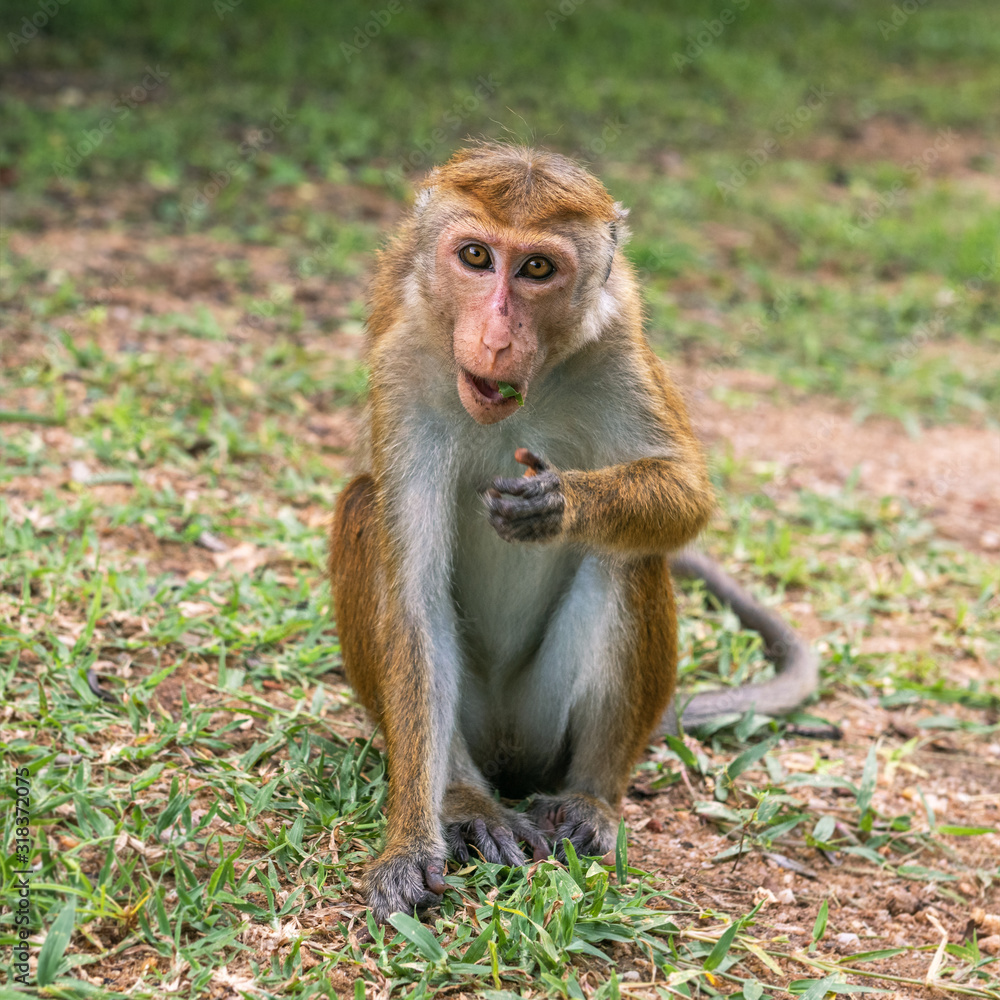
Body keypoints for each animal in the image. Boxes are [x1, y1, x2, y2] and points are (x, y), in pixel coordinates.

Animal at [332, 141, 816, 920]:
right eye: (475, 256)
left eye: (537, 269)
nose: (497, 338)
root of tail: (509, 751)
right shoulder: (403, 368)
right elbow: (413, 602)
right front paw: (409, 841)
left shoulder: (616, 342)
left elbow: (685, 493)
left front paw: (559, 504)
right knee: (361, 505)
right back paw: (466, 799)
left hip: (543, 721)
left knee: (632, 555)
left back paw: (592, 798)